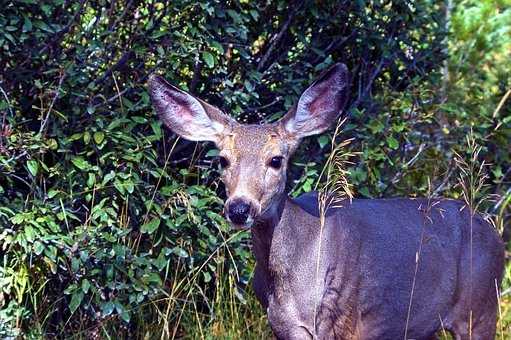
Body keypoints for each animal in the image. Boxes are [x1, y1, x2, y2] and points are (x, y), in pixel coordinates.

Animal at [148, 62, 504, 338]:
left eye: (276, 160)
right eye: (223, 160)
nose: (239, 208)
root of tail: (492, 230)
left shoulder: (342, 320)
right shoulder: (282, 328)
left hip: (481, 308)